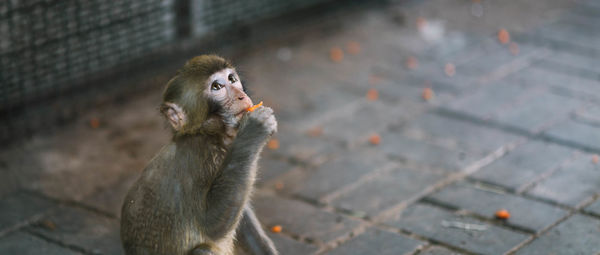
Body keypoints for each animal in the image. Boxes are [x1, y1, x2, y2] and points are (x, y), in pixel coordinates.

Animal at [122, 54, 282, 255]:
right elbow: (211, 224)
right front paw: (254, 130)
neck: (209, 135)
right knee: (203, 249)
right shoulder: (198, 157)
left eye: (232, 79)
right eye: (217, 87)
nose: (241, 95)